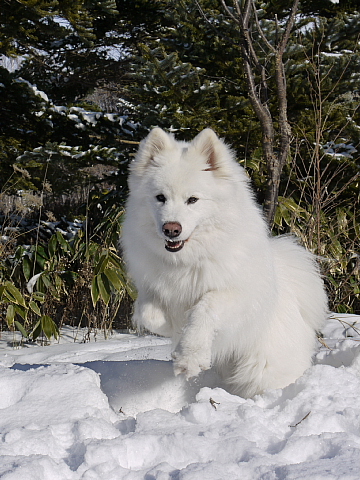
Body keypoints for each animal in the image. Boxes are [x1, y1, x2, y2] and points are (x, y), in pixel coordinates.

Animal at [121, 127, 330, 398]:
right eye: (160, 198)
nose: (171, 229)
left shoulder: (236, 295)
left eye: (192, 200)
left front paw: (189, 357)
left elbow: (204, 310)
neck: (189, 259)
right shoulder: (152, 289)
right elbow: (149, 314)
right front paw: (175, 330)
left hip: (262, 369)